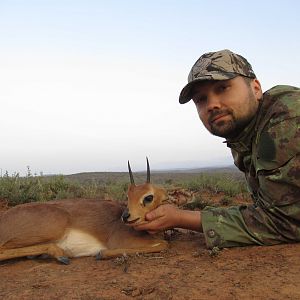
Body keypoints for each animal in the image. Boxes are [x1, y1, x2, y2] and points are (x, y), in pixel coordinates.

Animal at [0, 158, 168, 264]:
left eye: (148, 197)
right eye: (128, 196)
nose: (126, 216)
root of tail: (4, 218)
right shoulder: (119, 241)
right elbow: (163, 244)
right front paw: (101, 254)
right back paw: (60, 255)